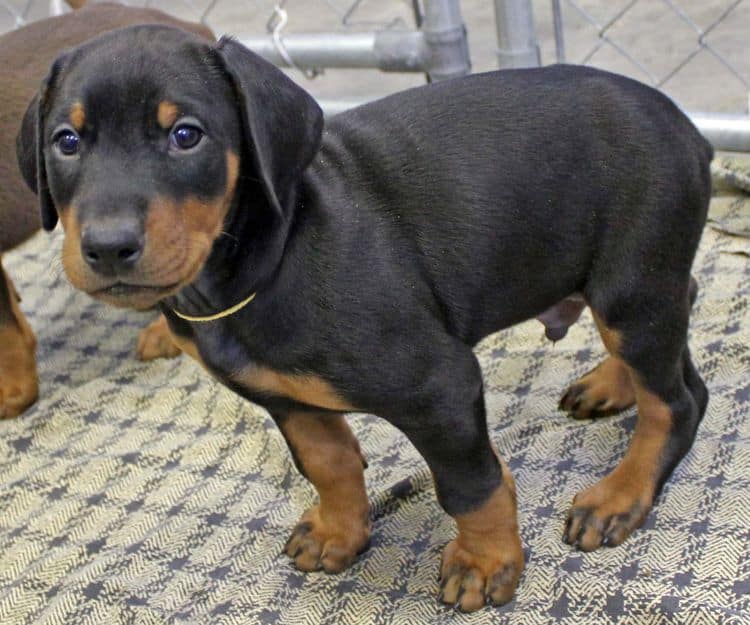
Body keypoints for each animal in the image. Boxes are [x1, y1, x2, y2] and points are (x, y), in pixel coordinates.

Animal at [14, 25, 712, 608]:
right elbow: (328, 463)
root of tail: (686, 125)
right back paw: (612, 384)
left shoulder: (440, 386)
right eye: (66, 142)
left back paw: (620, 494)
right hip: (633, 282)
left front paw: (485, 562)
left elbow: (470, 485)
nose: (107, 247)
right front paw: (339, 532)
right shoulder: (287, 400)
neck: (267, 259)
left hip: (630, 283)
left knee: (678, 400)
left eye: (186, 134)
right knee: (684, 308)